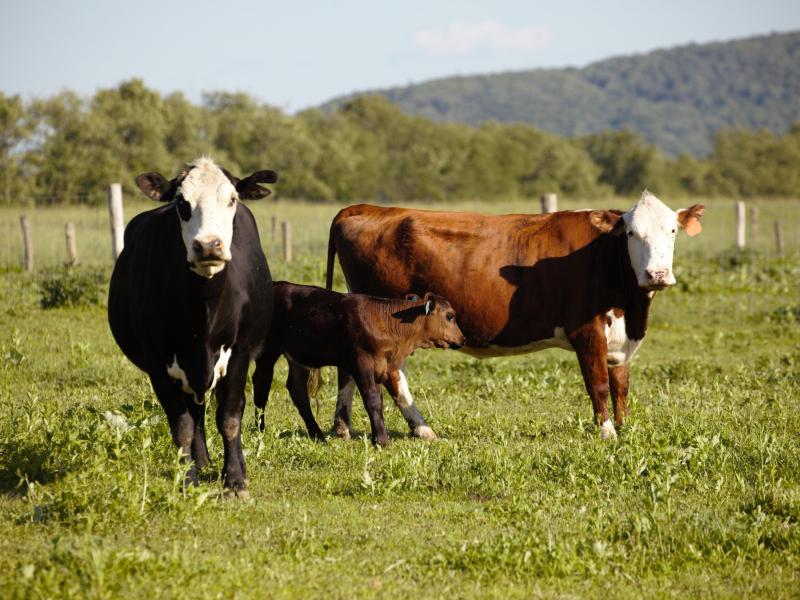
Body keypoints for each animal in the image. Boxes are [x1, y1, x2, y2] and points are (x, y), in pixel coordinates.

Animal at [108, 157, 277, 497]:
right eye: (182, 203)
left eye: (232, 199)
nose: (208, 245)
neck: (204, 315)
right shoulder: (158, 363)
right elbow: (182, 424)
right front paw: (187, 479)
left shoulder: (239, 355)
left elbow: (229, 418)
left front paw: (235, 480)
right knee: (195, 414)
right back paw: (200, 461)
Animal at [252, 282, 466, 447]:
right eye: (450, 316)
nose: (462, 339)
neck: (386, 321)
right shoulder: (360, 362)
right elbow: (372, 399)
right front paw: (381, 440)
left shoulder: (387, 366)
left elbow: (391, 398)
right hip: (268, 350)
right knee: (261, 384)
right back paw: (260, 429)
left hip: (298, 358)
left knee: (297, 391)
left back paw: (317, 435)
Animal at [323, 191, 704, 440]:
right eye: (631, 233)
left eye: (672, 231)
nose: (657, 274)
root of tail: (365, 208)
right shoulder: (586, 331)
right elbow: (597, 383)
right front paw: (608, 432)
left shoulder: (620, 337)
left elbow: (620, 385)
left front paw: (624, 427)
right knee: (390, 374)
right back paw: (422, 428)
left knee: (350, 368)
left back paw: (343, 427)